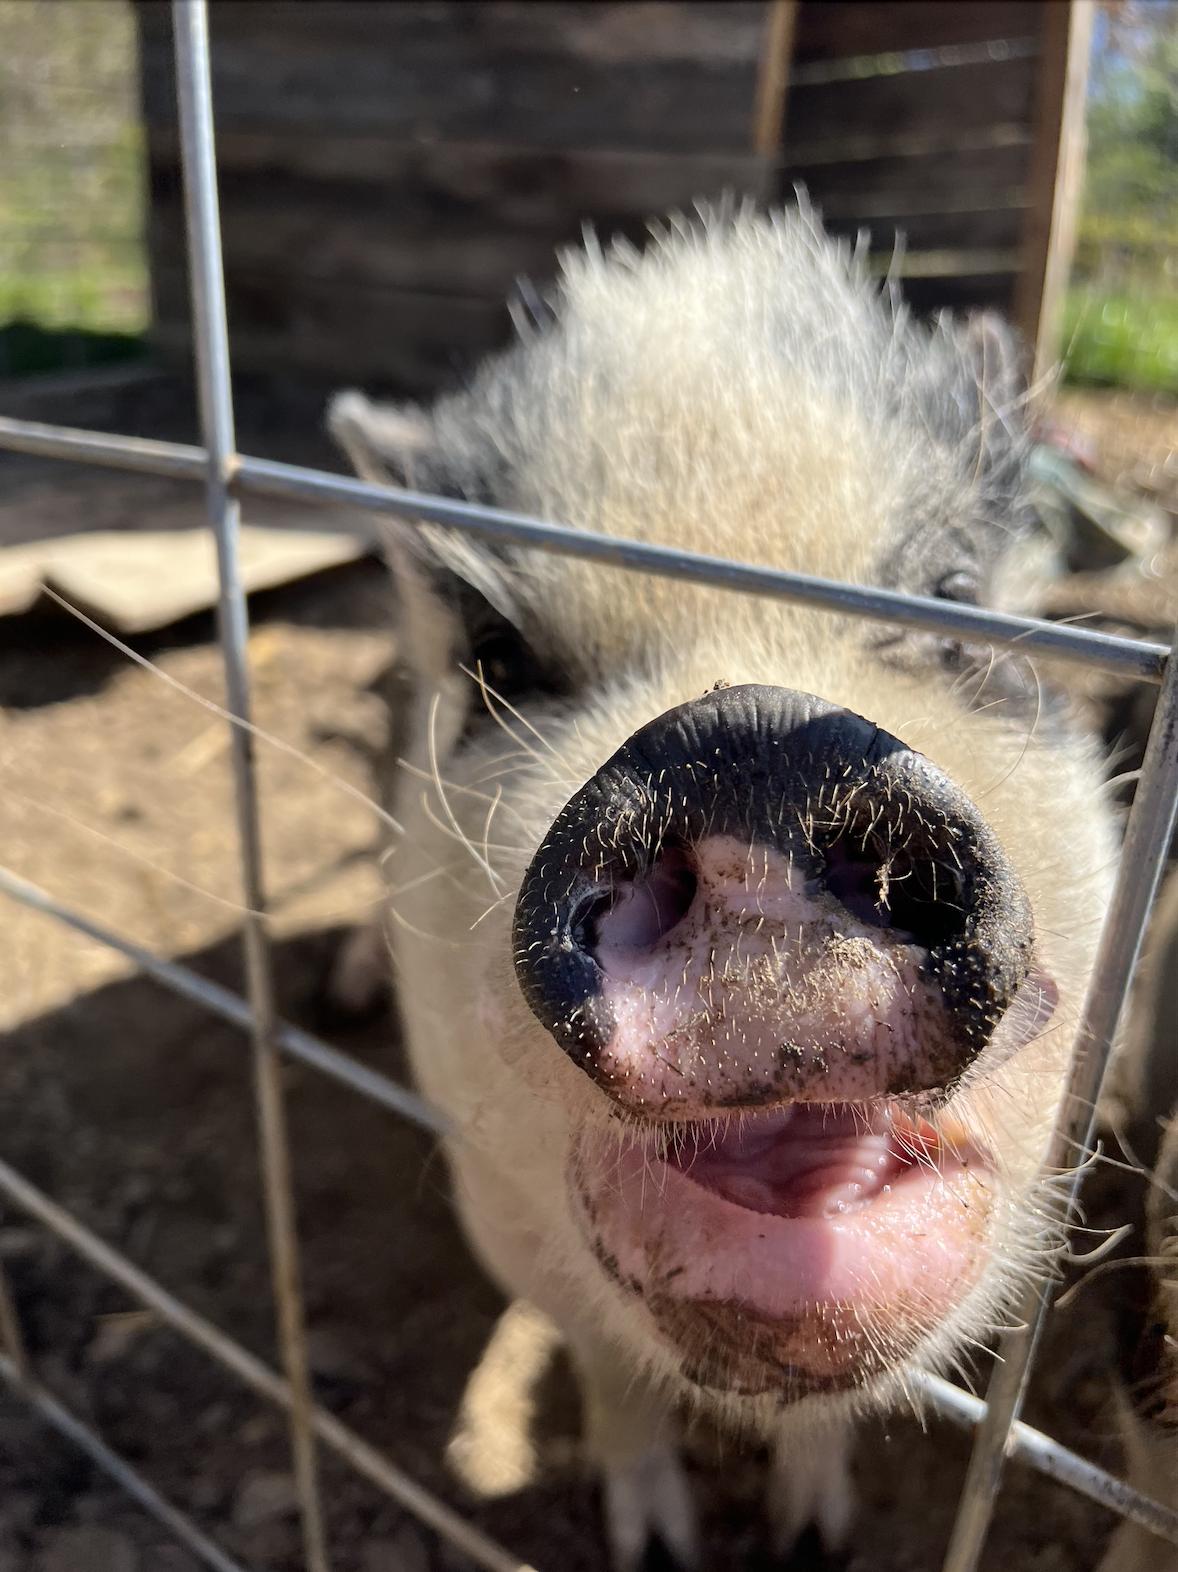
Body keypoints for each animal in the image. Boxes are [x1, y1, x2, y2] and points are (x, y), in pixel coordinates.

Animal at [328, 204, 1119, 1566]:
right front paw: (656, 1547)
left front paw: (814, 1540)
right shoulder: (499, 1212)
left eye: (954, 600)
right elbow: (608, 1372)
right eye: (500, 658)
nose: (751, 750)